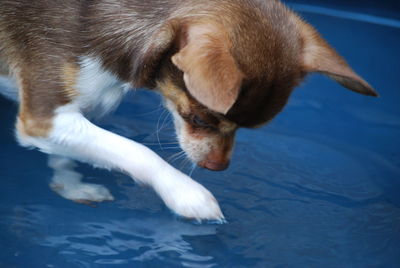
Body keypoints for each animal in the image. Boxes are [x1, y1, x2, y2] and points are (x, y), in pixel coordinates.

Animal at [0, 0, 376, 222]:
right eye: (198, 119)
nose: (218, 167)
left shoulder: (62, 115)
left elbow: (67, 153)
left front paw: (70, 186)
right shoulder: (43, 116)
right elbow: (136, 151)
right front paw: (186, 193)